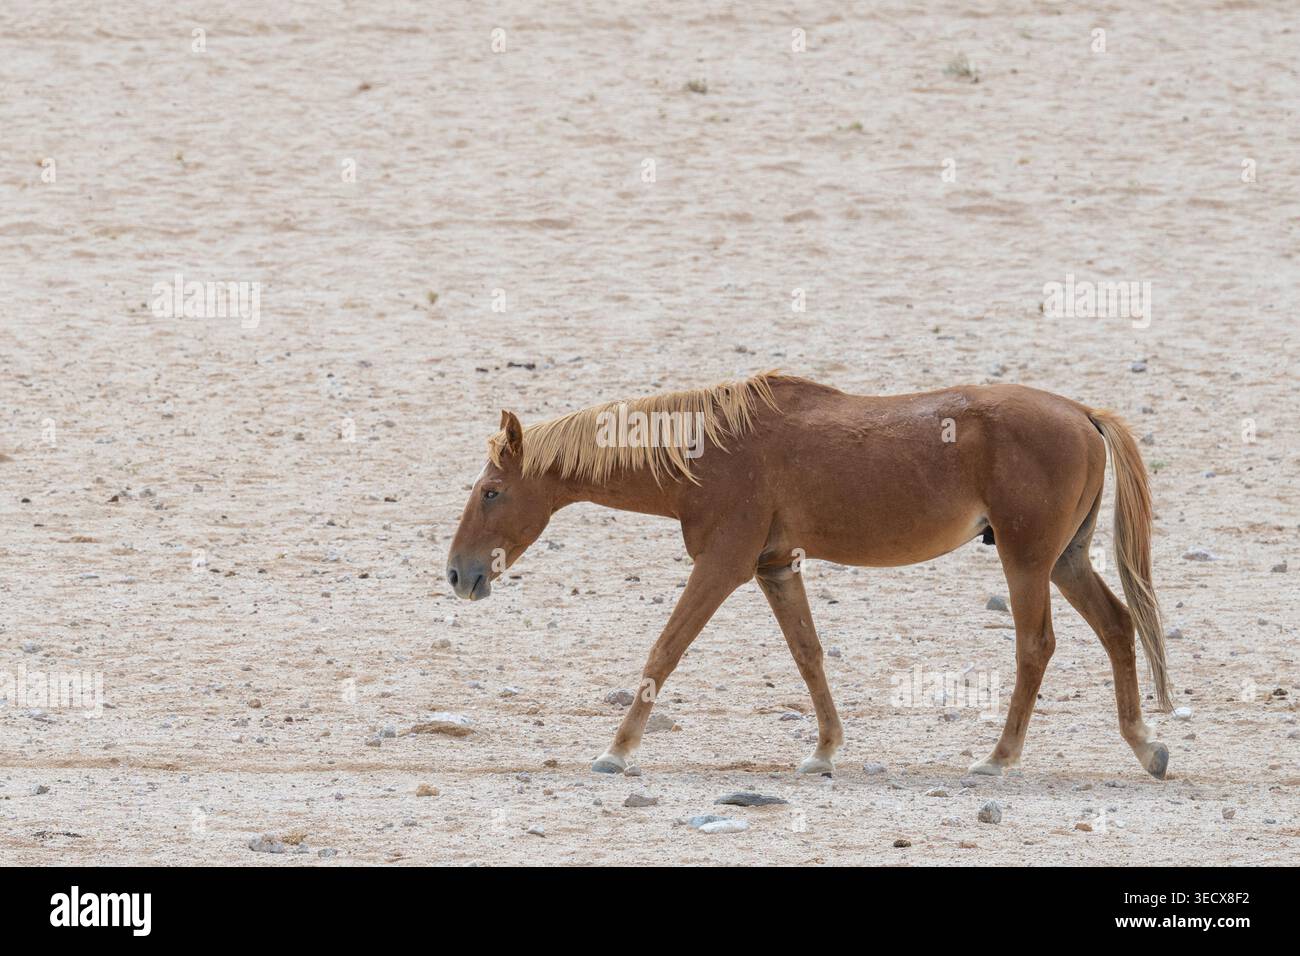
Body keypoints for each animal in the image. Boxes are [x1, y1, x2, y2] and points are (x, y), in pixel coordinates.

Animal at [446, 372, 1173, 779]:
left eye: (490, 491)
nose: (457, 574)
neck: (708, 450)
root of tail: (1082, 413)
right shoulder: (776, 568)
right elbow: (809, 655)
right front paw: (824, 751)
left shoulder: (723, 566)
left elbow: (665, 649)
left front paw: (617, 751)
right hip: (1065, 561)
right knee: (1117, 627)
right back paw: (1144, 746)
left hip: (1026, 562)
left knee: (1035, 648)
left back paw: (999, 758)